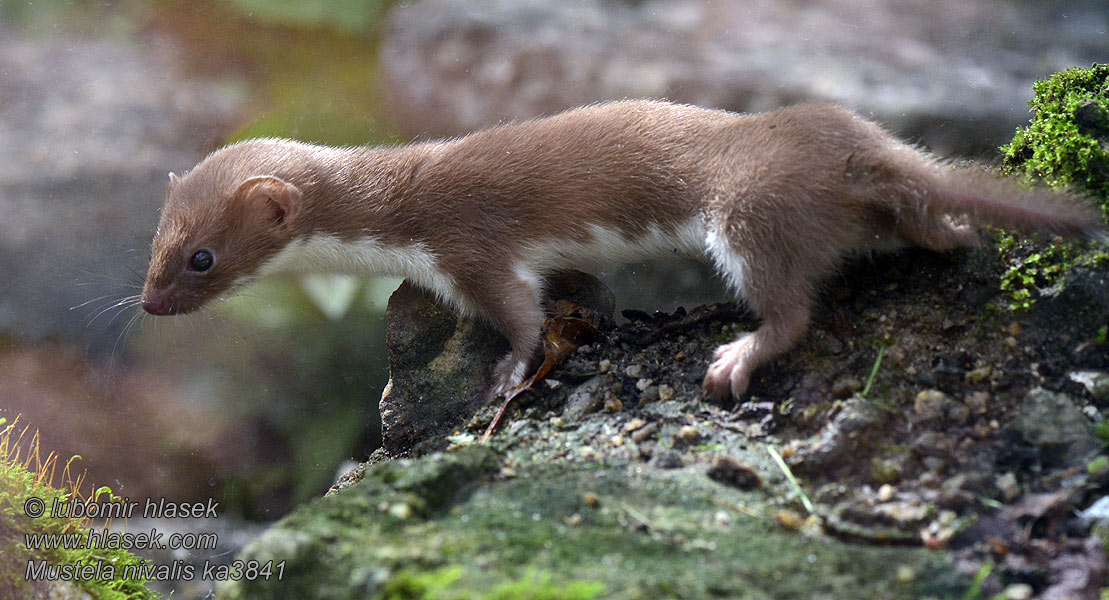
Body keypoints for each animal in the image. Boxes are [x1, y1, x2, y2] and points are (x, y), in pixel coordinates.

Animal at [143, 102, 1104, 401]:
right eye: (155, 242)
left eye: (201, 258)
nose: (149, 306)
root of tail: (844, 138)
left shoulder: (469, 245)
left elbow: (520, 311)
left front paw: (505, 371)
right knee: (928, 218)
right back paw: (949, 230)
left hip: (743, 211)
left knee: (792, 306)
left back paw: (734, 356)